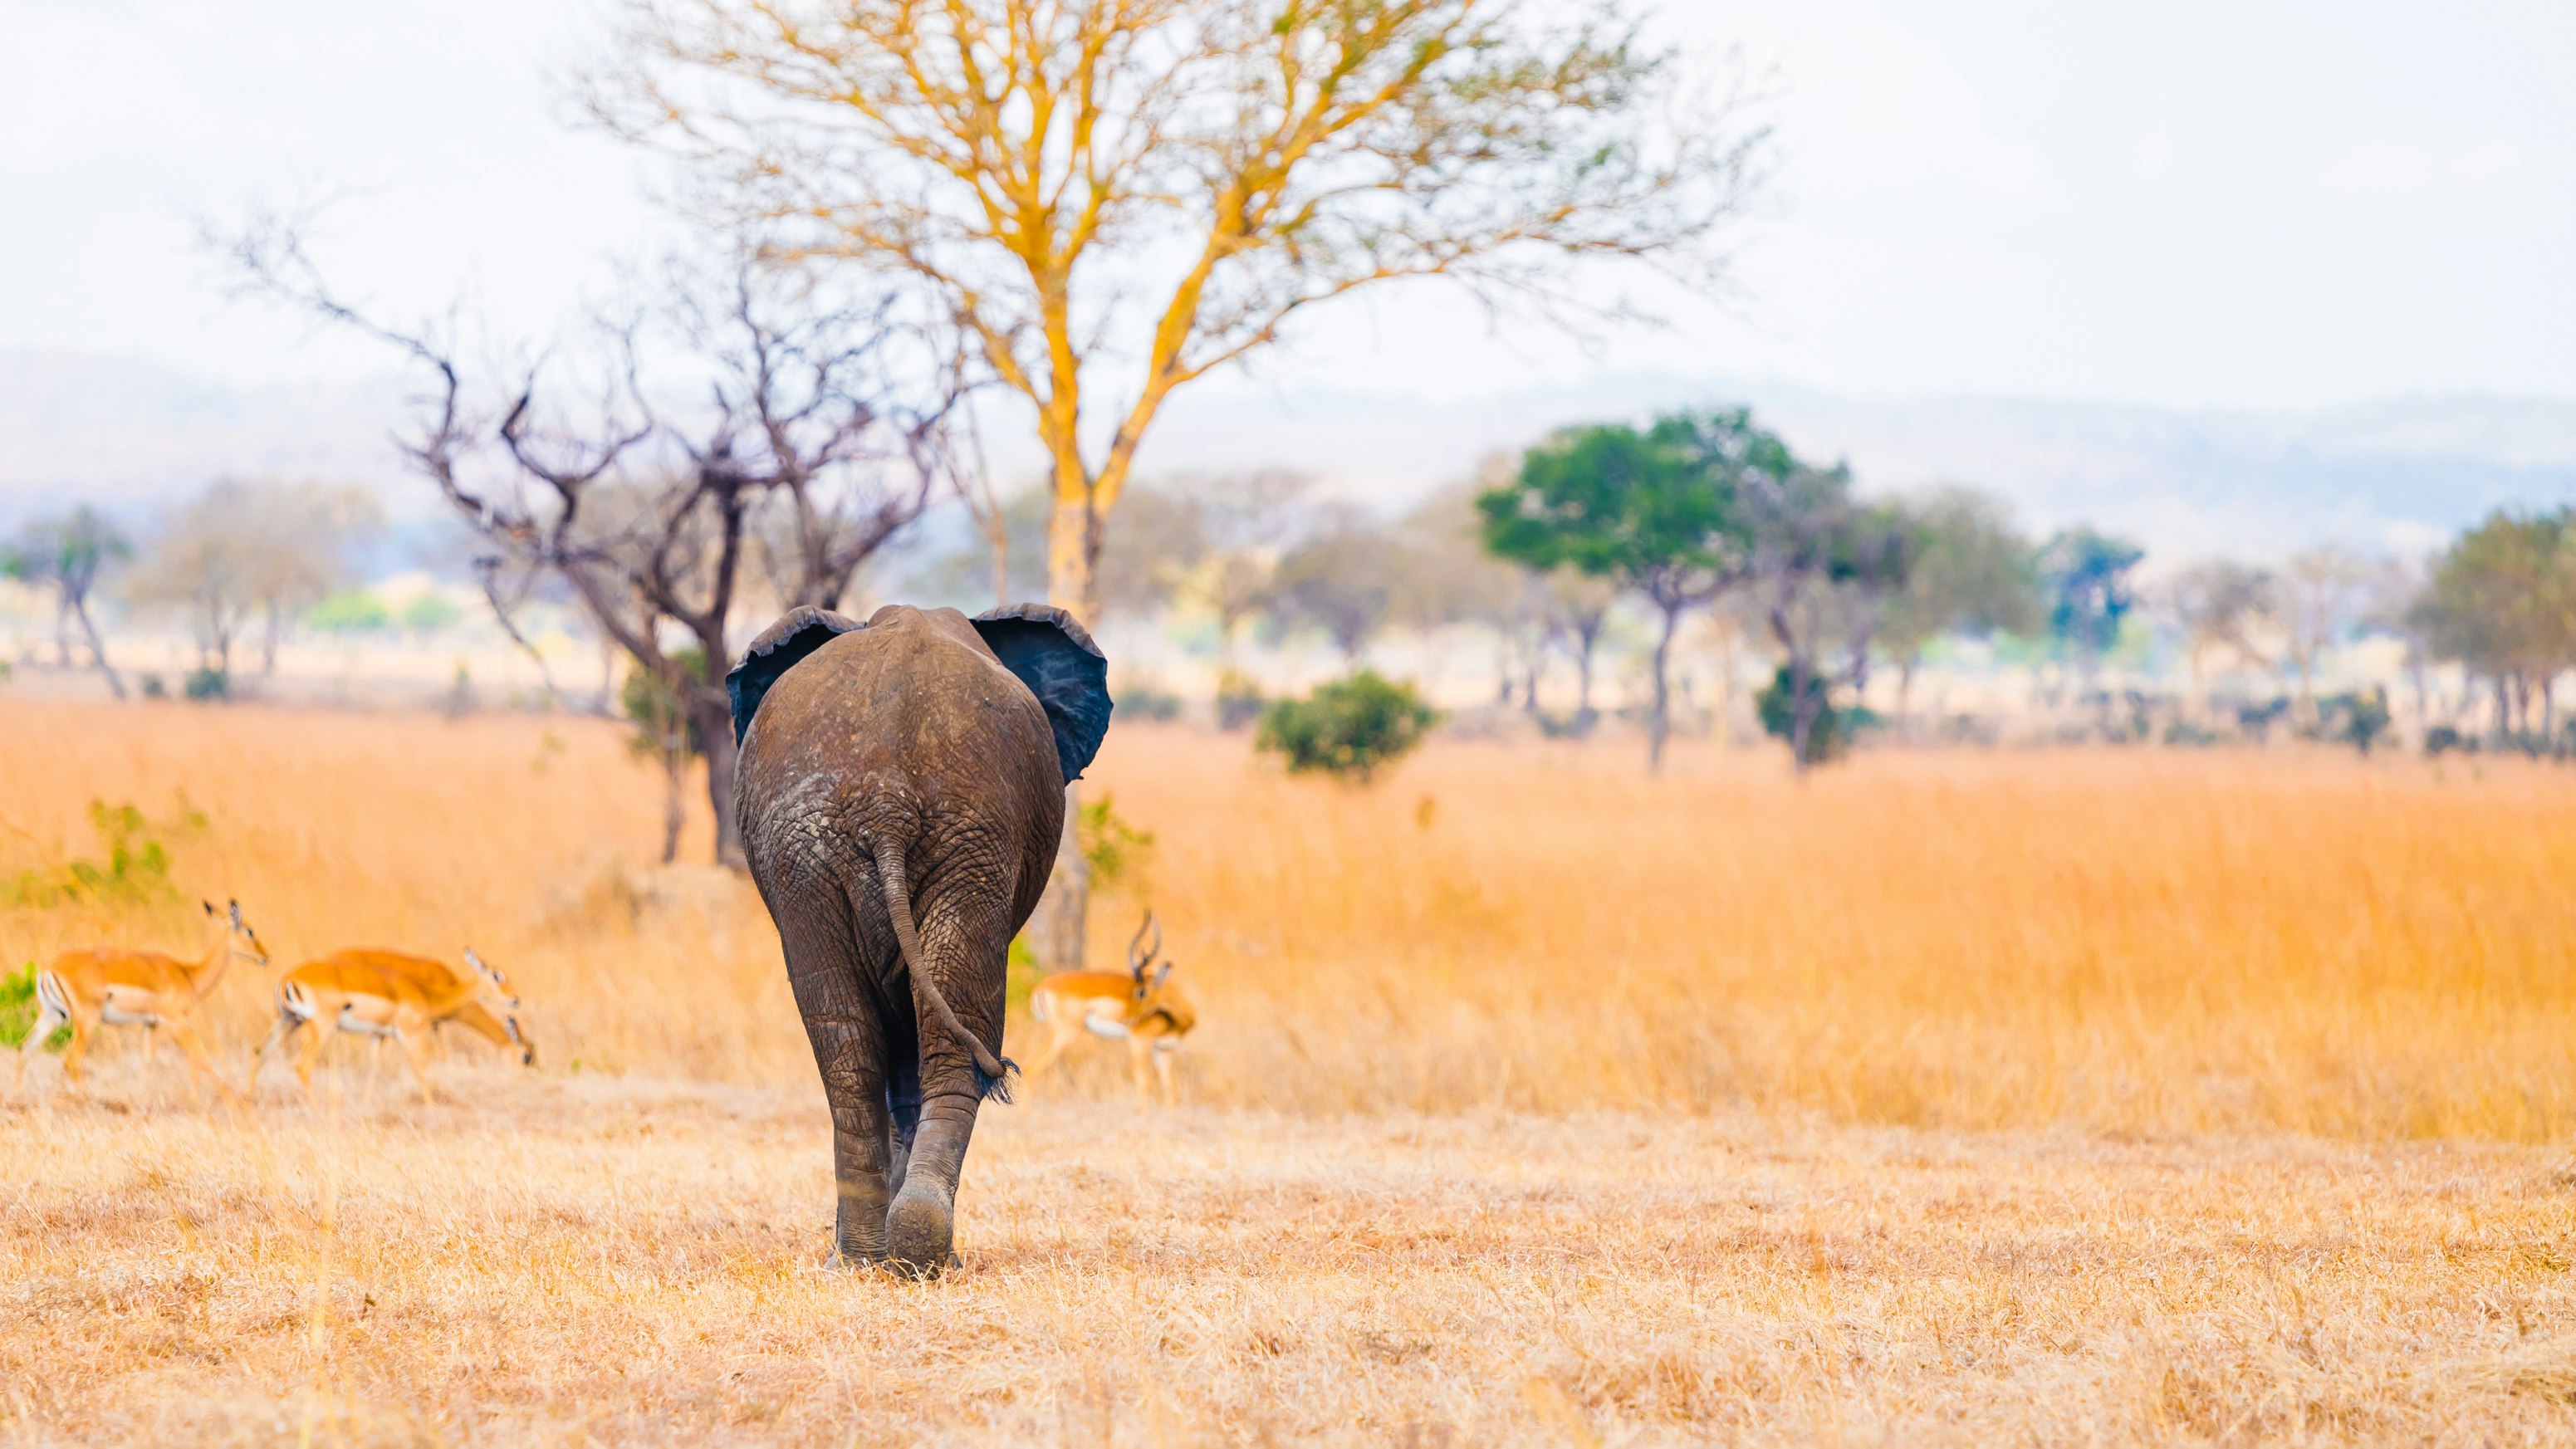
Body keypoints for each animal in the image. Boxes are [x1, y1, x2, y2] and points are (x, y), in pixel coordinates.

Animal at [737, 607, 1118, 1276]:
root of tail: (886, 799)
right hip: (942, 842)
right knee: (935, 1031)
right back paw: (913, 1254)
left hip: (833, 852)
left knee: (851, 1041)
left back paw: (870, 1258)